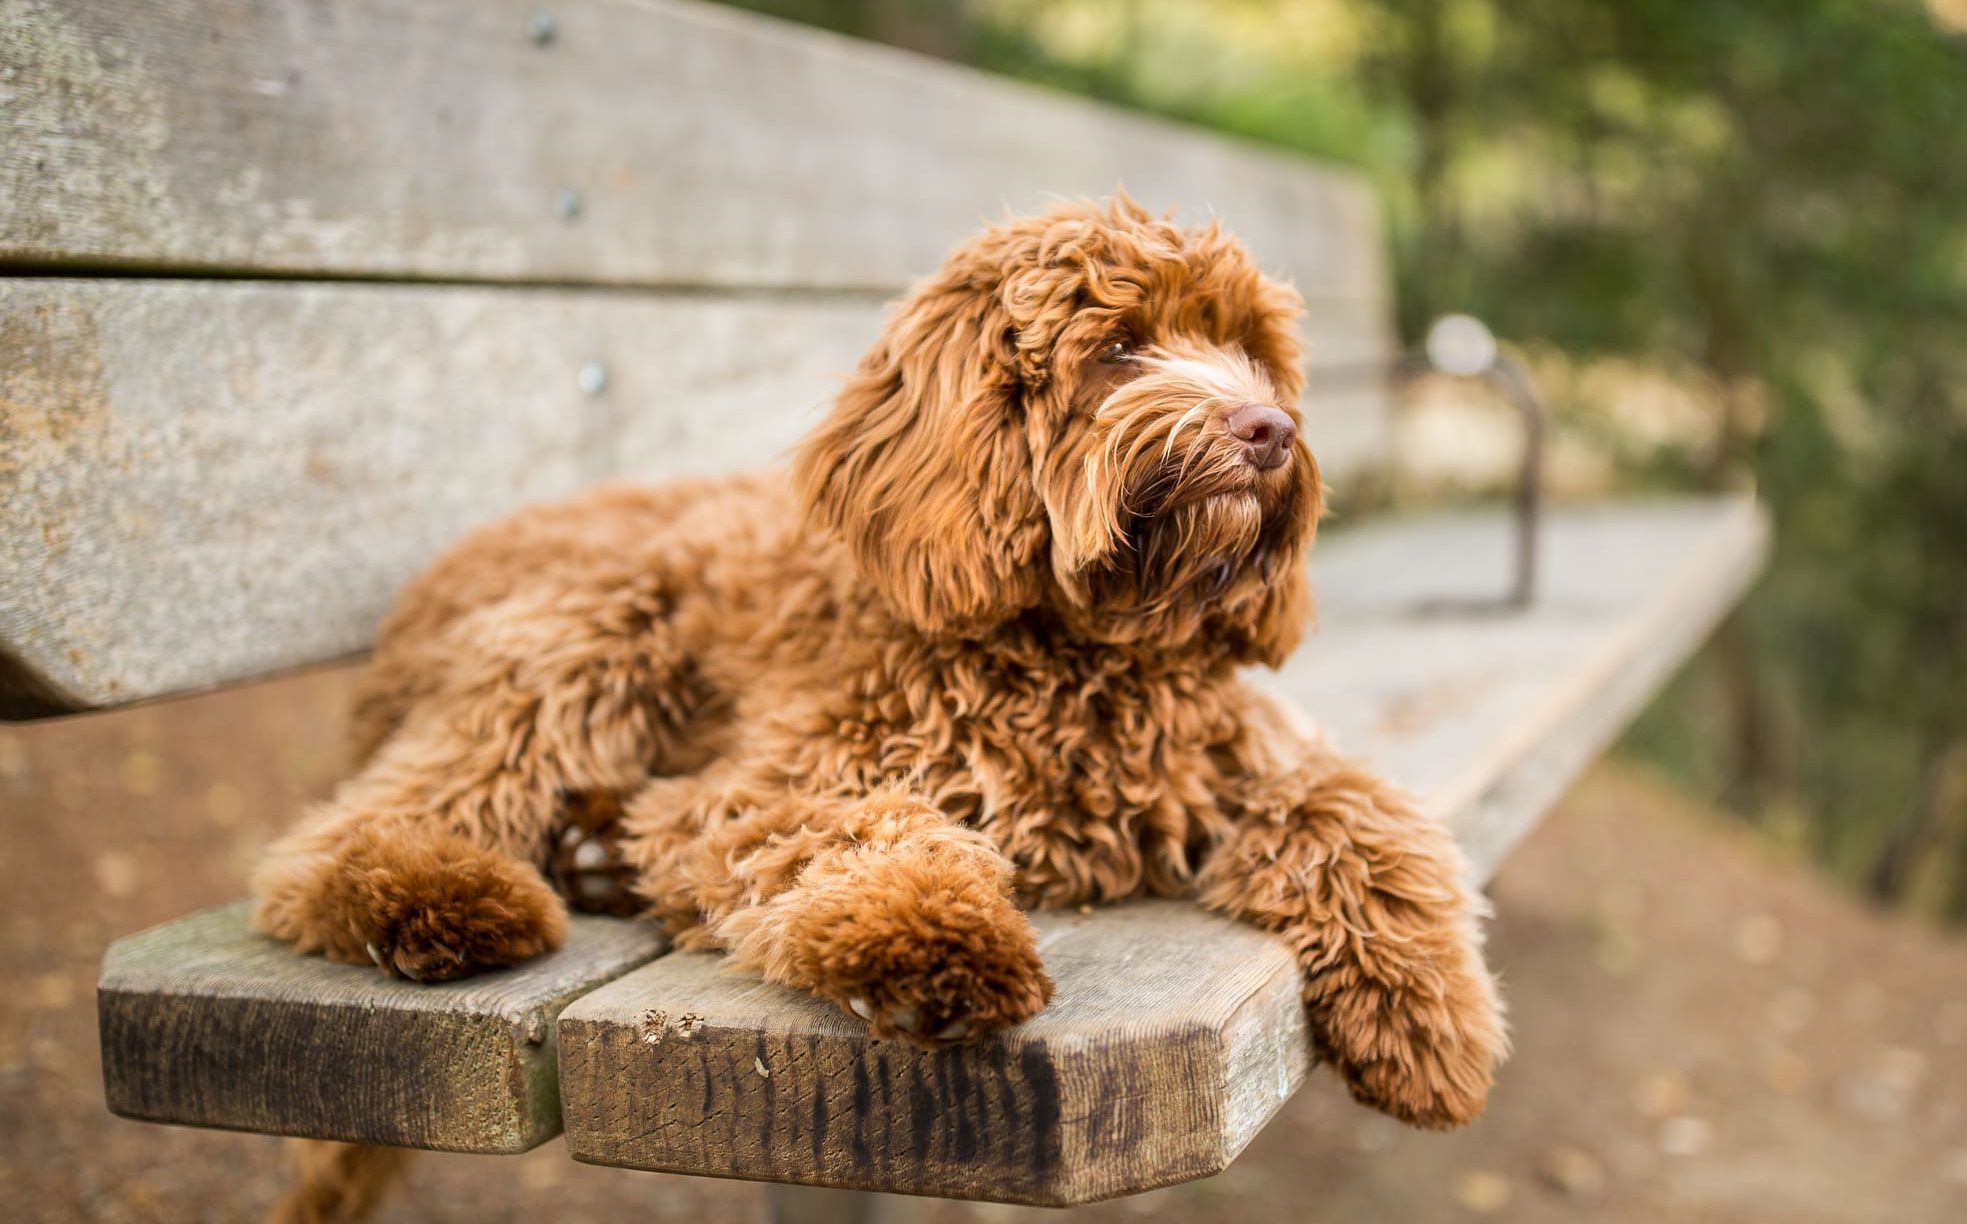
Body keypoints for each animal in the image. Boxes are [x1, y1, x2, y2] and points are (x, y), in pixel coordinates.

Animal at [245, 196, 1502, 1133]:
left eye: (1250, 351)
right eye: (1119, 348)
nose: (1269, 430)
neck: (1076, 651)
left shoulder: (1242, 757)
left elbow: (1361, 820)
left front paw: (1431, 1017)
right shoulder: (773, 780)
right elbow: (861, 833)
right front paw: (939, 943)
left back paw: (592, 854)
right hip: (591, 624)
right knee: (344, 835)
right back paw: (437, 894)